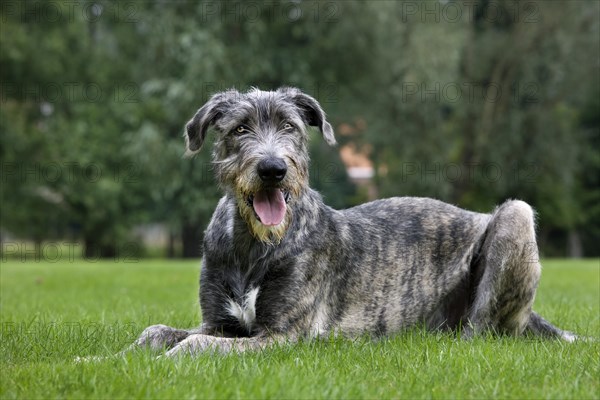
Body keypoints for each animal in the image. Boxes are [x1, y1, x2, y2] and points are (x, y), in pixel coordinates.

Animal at [132, 87, 576, 356]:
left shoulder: (282, 335)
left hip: (515, 216)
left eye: (290, 126)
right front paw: (120, 355)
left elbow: (198, 345)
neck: (255, 243)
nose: (273, 169)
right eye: (240, 128)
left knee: (480, 334)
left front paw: (169, 358)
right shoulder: (218, 321)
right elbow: (156, 331)